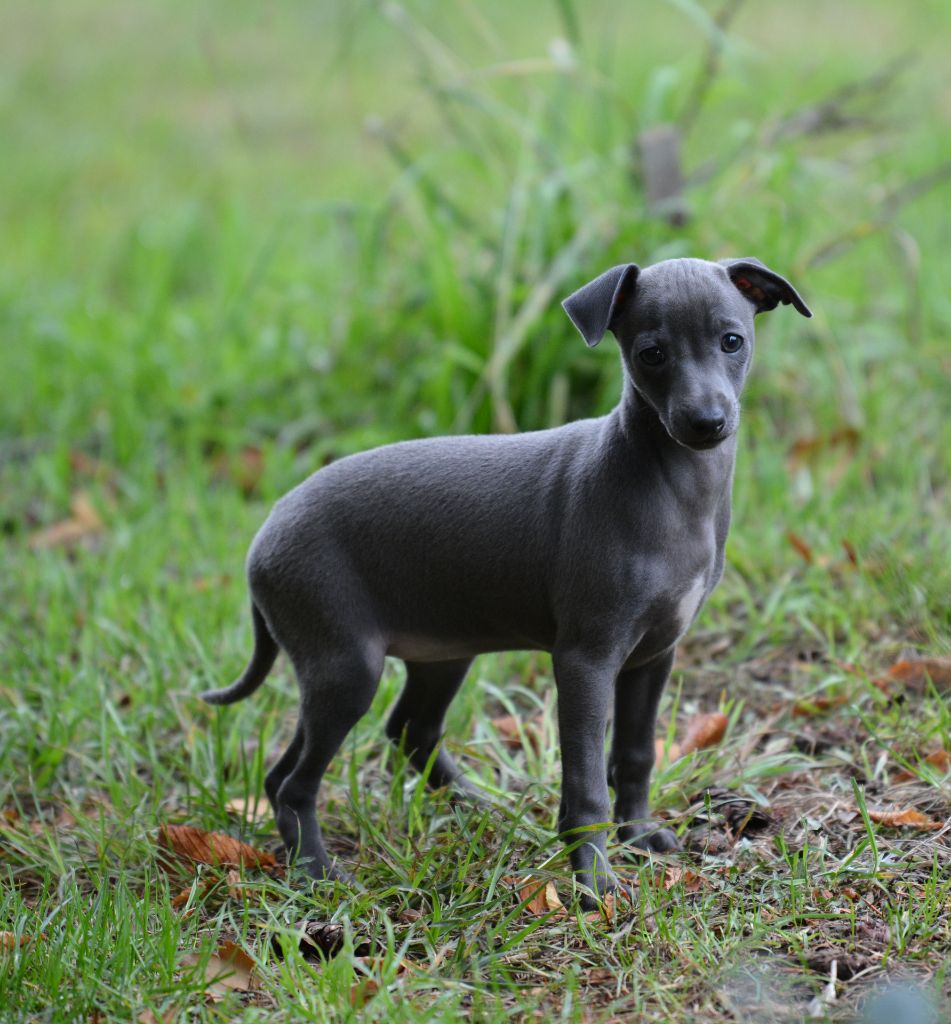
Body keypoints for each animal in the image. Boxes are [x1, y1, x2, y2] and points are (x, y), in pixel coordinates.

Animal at [200, 256, 810, 905]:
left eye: (732, 341)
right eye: (651, 354)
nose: (706, 422)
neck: (676, 489)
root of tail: (263, 538)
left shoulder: (653, 656)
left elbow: (637, 752)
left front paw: (639, 835)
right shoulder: (586, 659)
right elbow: (587, 781)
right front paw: (595, 880)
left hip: (434, 654)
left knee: (393, 736)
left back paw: (477, 807)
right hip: (345, 665)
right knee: (298, 779)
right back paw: (319, 872)